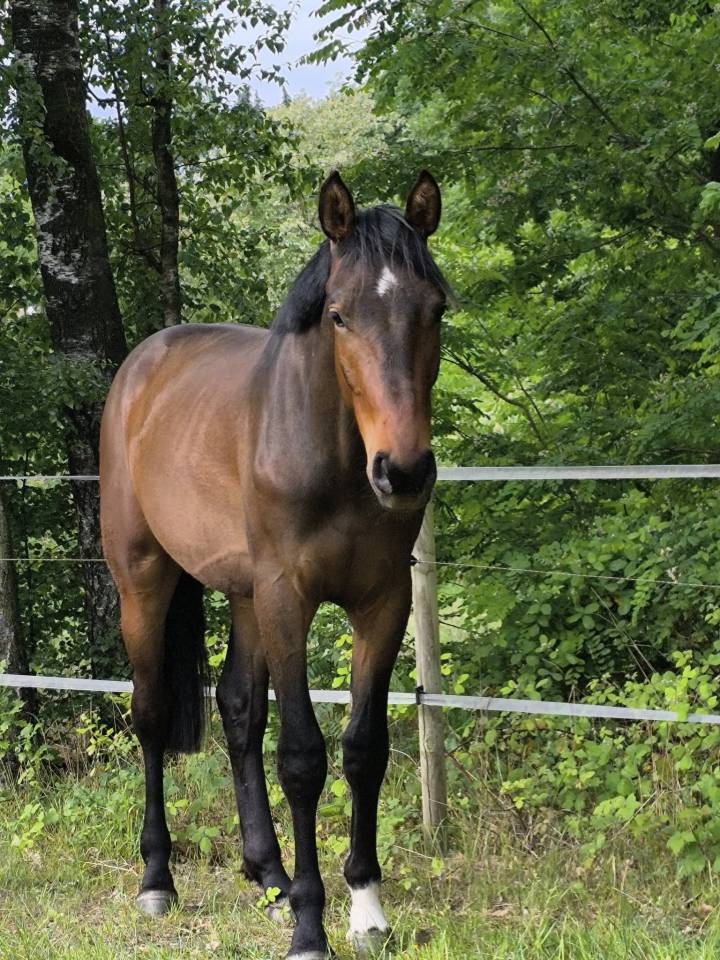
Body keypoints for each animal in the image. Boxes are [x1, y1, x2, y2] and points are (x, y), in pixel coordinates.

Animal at [99, 170, 448, 959]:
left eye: (436, 308)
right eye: (341, 316)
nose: (404, 471)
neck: (336, 459)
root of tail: (141, 367)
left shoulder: (380, 602)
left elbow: (363, 749)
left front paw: (366, 906)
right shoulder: (290, 598)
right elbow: (302, 756)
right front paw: (311, 927)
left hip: (244, 595)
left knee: (235, 710)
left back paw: (269, 872)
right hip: (144, 580)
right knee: (152, 714)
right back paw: (158, 878)